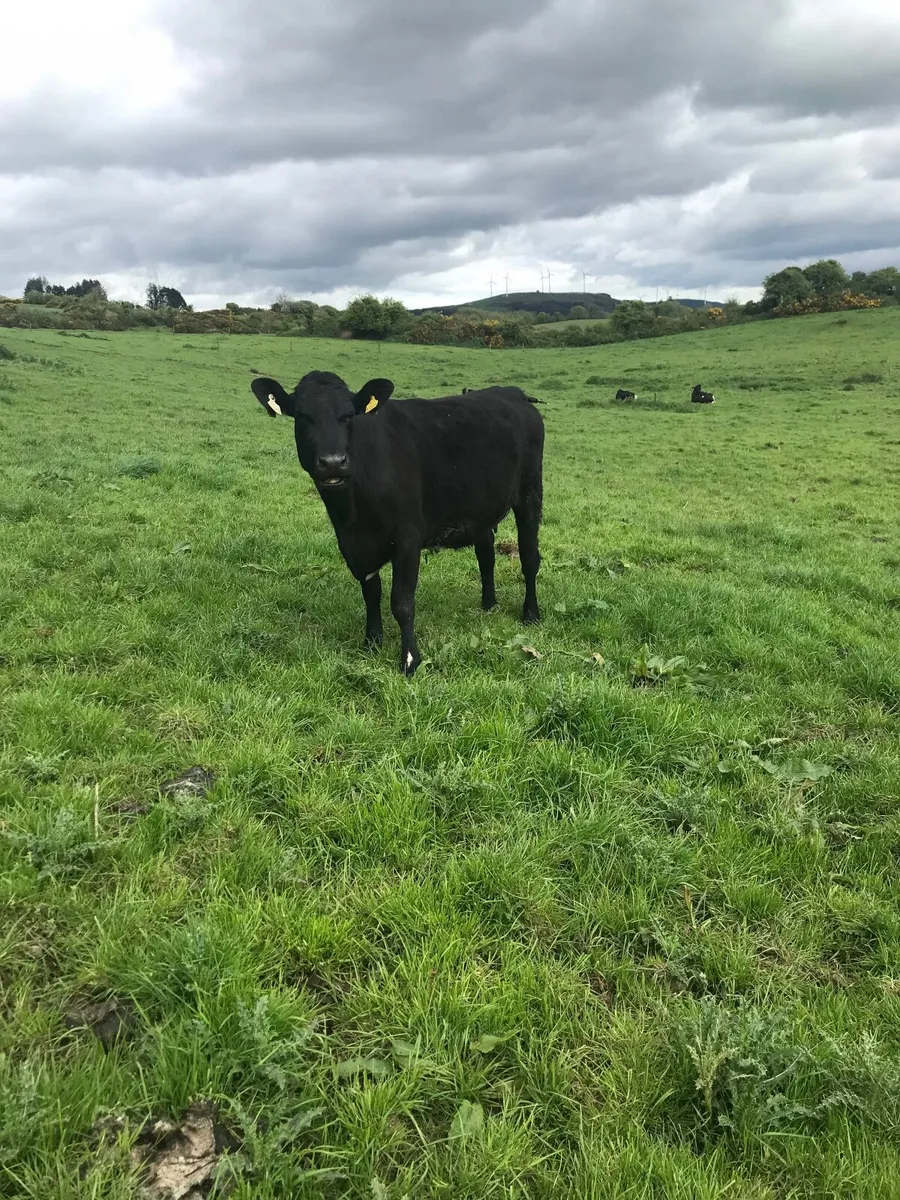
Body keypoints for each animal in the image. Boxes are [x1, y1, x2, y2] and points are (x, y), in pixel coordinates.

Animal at [249, 371, 545, 676]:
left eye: (348, 415)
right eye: (302, 416)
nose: (333, 462)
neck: (352, 513)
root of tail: (513, 393)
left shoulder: (407, 539)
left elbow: (402, 602)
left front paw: (410, 660)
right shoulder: (353, 545)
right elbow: (371, 593)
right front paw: (371, 642)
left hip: (530, 493)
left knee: (529, 558)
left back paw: (531, 613)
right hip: (481, 510)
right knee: (486, 556)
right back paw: (488, 605)